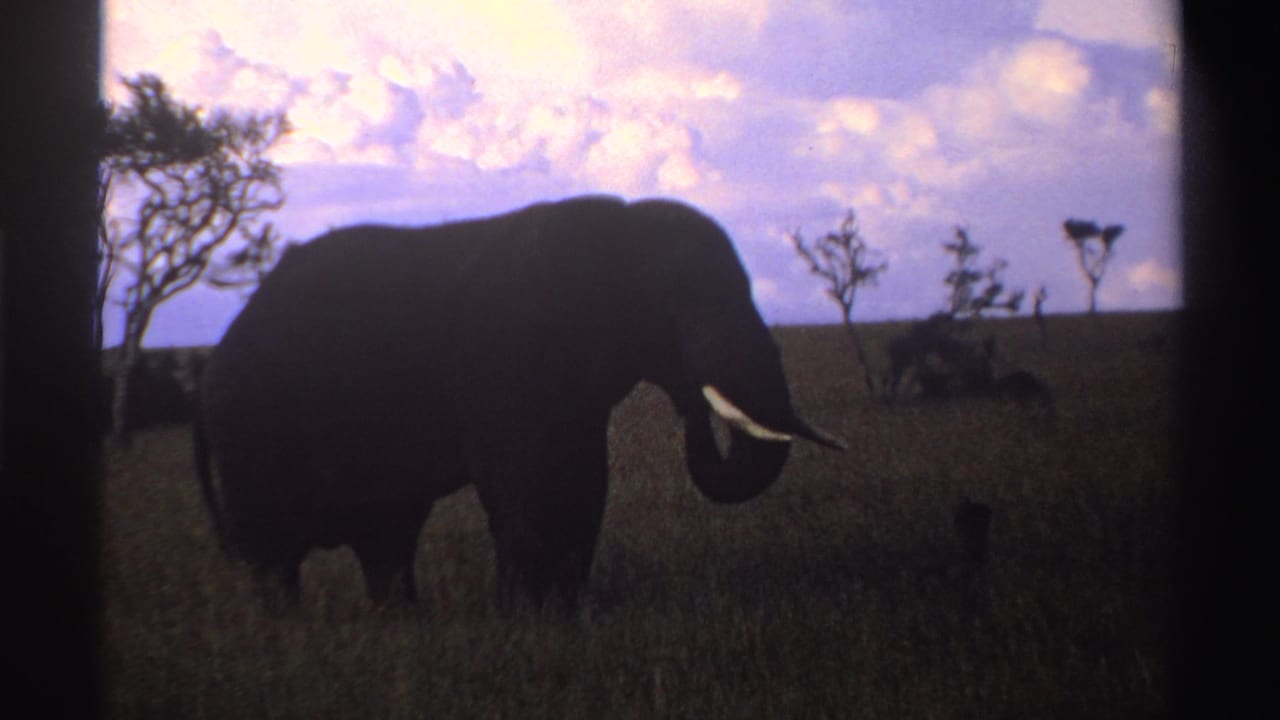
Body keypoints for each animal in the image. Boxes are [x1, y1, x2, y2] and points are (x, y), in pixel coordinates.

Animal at [194, 194, 843, 611]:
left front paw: (560, 612)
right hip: (253, 426)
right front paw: (528, 618)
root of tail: (216, 354)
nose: (693, 400)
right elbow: (526, 481)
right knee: (277, 554)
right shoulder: (507, 349)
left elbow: (582, 481)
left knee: (386, 538)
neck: (619, 228)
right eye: (677, 301)